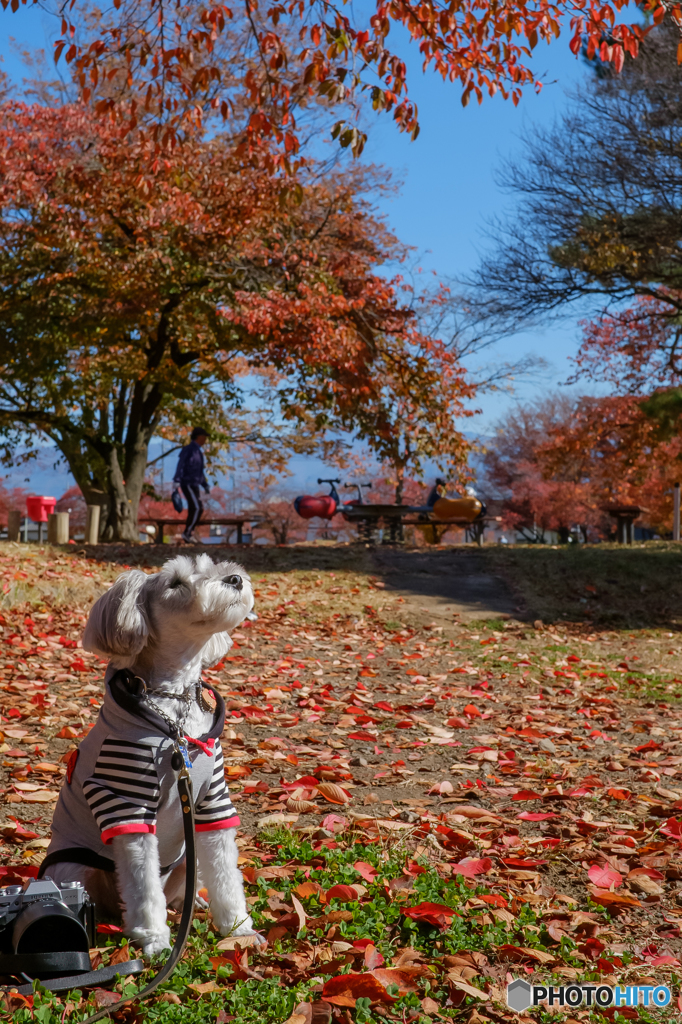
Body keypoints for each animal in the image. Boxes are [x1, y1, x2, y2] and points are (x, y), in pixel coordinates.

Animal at [40, 557, 260, 954]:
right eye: (175, 583)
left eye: (210, 565)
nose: (235, 578)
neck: (174, 704)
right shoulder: (127, 806)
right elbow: (143, 886)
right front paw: (156, 940)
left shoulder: (212, 802)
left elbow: (225, 873)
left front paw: (238, 928)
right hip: (70, 868)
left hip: (188, 859)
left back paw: (195, 902)